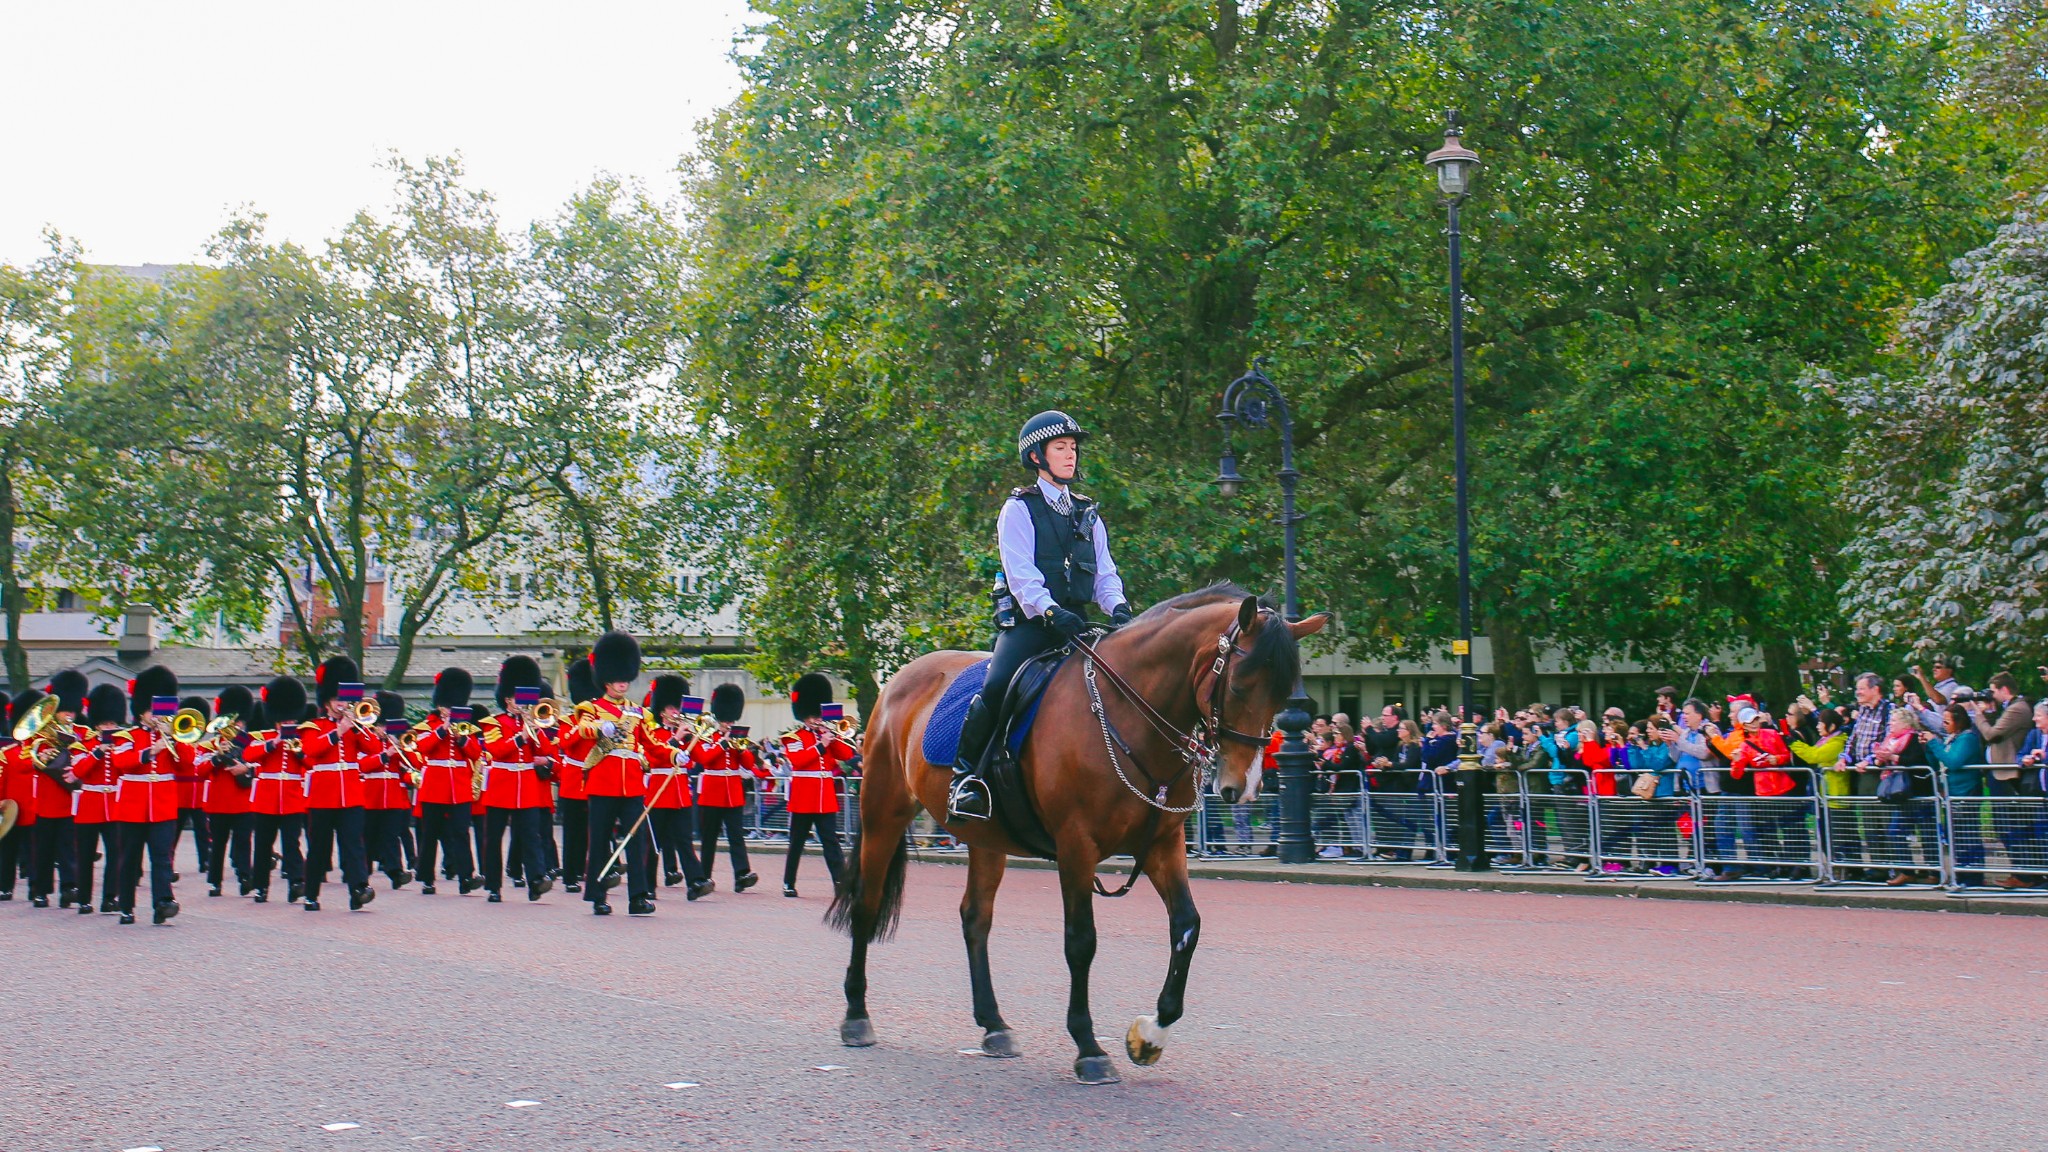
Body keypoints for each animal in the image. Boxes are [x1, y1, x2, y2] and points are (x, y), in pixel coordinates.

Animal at [827, 582, 1327, 1074]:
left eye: (1286, 697)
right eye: (1240, 686)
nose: (1243, 786)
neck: (1127, 714)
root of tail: (899, 681)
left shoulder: (1163, 844)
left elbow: (1187, 927)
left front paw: (1150, 1033)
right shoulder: (1075, 846)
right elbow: (1081, 941)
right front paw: (1088, 1046)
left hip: (987, 839)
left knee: (975, 917)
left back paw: (994, 1024)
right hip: (883, 813)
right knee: (867, 903)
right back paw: (856, 1016)